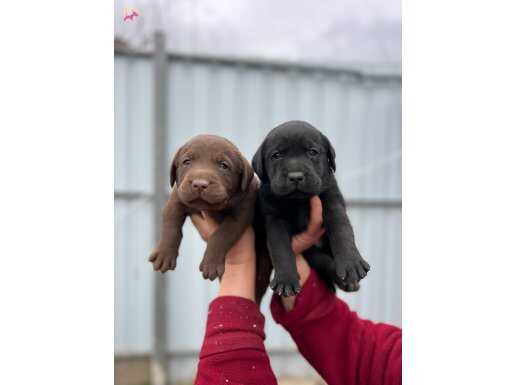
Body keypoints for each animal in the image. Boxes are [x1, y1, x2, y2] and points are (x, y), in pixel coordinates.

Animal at [148, 135, 256, 280]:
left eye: (223, 165)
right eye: (187, 162)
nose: (199, 184)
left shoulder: (241, 212)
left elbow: (222, 235)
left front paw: (211, 264)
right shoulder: (176, 198)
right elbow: (170, 225)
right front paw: (164, 254)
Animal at [251, 121, 368, 296]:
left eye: (312, 152)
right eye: (276, 155)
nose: (295, 176)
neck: (299, 201)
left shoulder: (332, 201)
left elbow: (341, 229)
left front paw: (350, 263)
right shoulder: (274, 219)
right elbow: (280, 248)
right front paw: (286, 279)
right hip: (313, 254)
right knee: (325, 263)